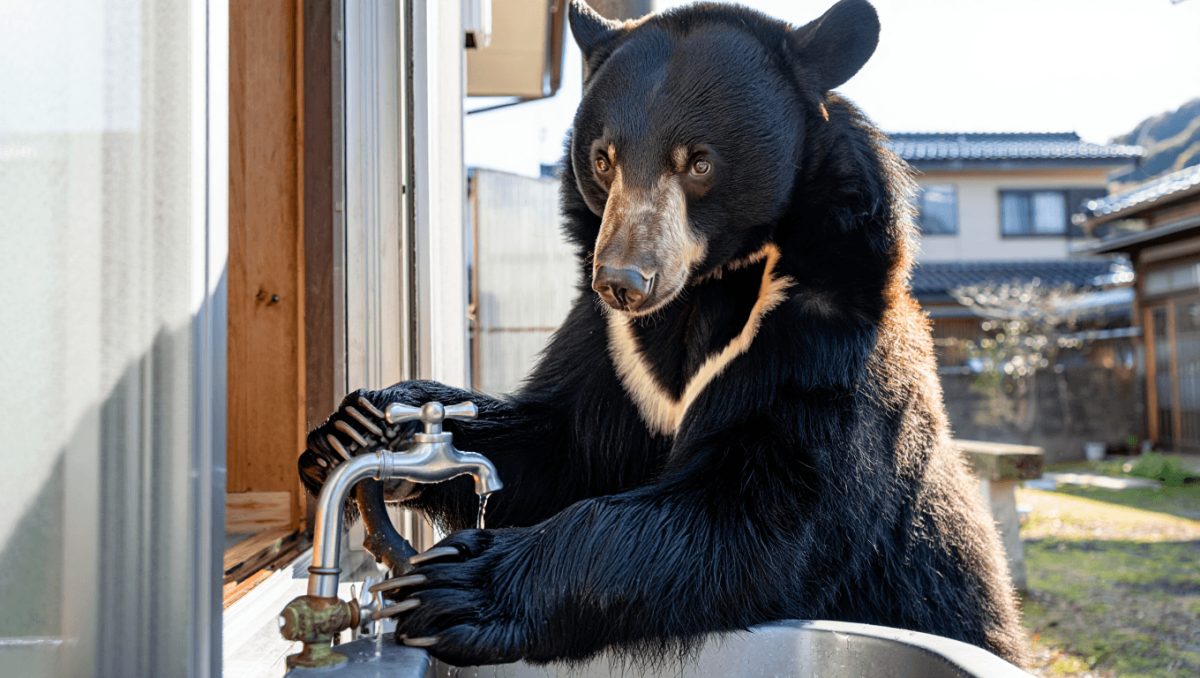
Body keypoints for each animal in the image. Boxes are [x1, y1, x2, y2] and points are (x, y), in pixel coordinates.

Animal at [299, 0, 1027, 667]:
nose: (623, 281)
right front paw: (359, 430)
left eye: (699, 163)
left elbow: (761, 509)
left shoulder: (820, 339)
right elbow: (554, 448)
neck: (703, 294)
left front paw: (457, 585)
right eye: (603, 159)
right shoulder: (608, 349)